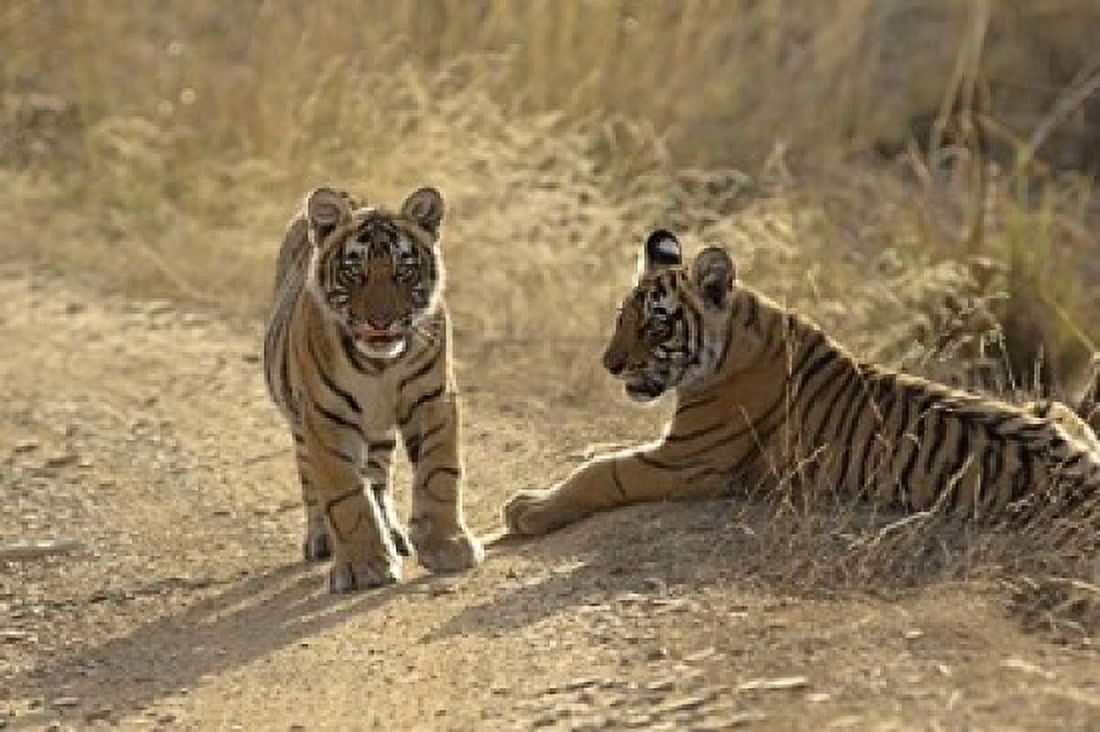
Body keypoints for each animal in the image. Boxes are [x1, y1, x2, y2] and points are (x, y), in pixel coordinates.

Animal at [264, 186, 483, 592]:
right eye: (355, 273)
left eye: (403, 271)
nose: (381, 322)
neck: (379, 366)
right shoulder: (325, 418)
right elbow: (347, 497)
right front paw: (364, 566)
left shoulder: (432, 399)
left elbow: (439, 473)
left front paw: (448, 545)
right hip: (300, 423)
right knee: (310, 479)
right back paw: (321, 539)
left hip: (378, 432)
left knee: (378, 479)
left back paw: (393, 534)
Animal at [503, 229, 1100, 539]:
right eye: (620, 318)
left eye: (654, 325)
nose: (609, 364)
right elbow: (603, 451)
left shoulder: (687, 461)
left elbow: (603, 474)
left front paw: (529, 509)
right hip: (1050, 407)